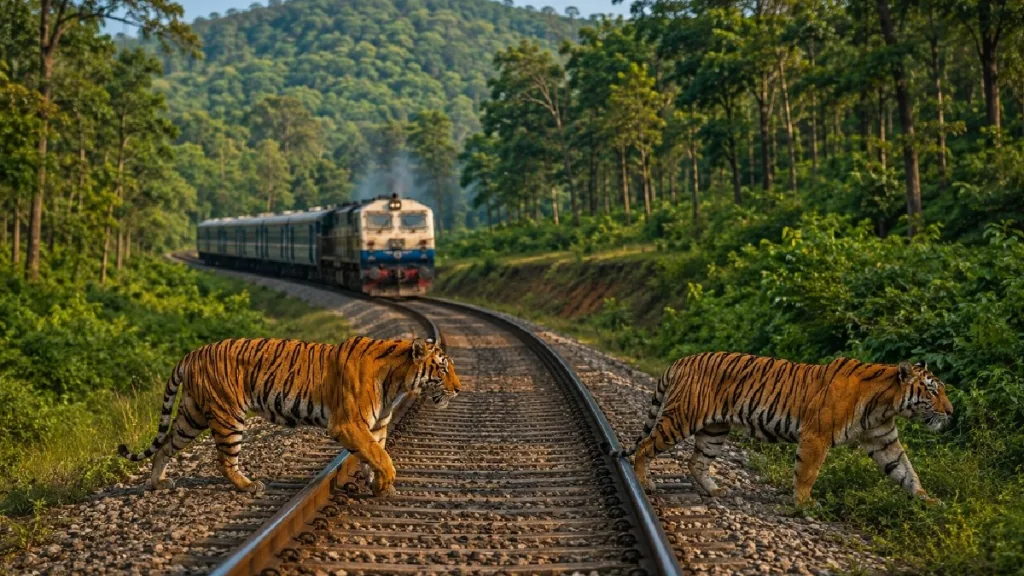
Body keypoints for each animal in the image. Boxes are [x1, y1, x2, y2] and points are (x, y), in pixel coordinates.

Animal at [118, 336, 460, 497]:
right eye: (443, 369)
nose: (458, 389)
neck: (398, 382)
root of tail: (191, 354)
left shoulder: (377, 426)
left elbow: (373, 455)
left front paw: (378, 485)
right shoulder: (348, 425)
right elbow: (380, 456)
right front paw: (386, 482)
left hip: (192, 415)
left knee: (165, 445)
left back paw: (157, 483)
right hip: (228, 415)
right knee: (224, 460)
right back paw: (248, 485)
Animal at [611, 352, 953, 506]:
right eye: (932, 390)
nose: (951, 412)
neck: (885, 404)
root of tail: (682, 360)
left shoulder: (884, 441)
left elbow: (906, 471)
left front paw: (928, 500)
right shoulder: (816, 436)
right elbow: (807, 472)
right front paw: (804, 503)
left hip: (715, 430)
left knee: (696, 462)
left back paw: (715, 490)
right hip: (680, 419)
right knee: (645, 446)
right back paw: (646, 484)